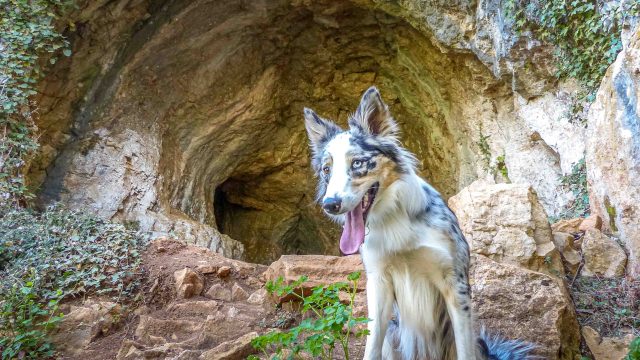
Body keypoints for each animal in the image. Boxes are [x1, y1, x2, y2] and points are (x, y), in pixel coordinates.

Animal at [304, 87, 536, 360]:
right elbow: (370, 348)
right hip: (393, 332)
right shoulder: (379, 282)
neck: (395, 223)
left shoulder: (454, 285)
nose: (330, 204)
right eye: (326, 170)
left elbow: (464, 349)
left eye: (357, 163)